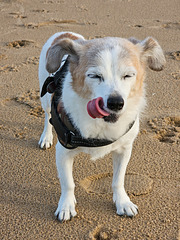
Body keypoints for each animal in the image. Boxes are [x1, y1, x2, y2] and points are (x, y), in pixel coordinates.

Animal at [38, 31, 166, 221]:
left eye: (128, 75)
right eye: (95, 76)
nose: (116, 103)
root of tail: (65, 33)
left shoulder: (124, 150)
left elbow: (118, 180)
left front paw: (123, 202)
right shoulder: (63, 152)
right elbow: (68, 183)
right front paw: (66, 205)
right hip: (46, 96)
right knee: (47, 116)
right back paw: (46, 137)